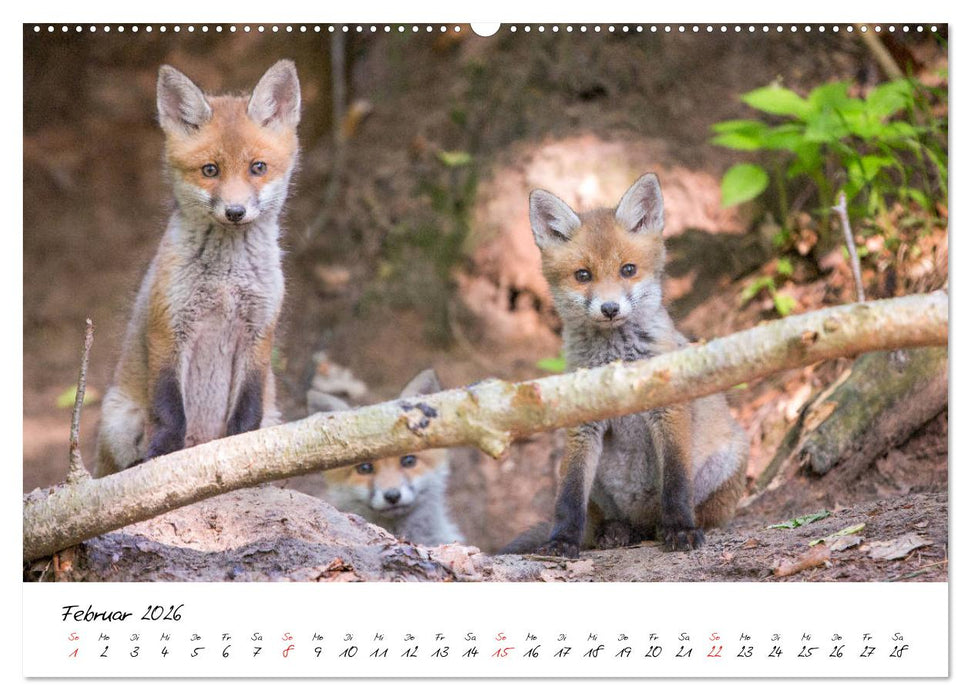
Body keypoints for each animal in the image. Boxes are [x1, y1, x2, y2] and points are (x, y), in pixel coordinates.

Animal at [95, 60, 301, 476]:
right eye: (210, 170)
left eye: (258, 167)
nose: (235, 211)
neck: (225, 281)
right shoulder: (169, 327)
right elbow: (169, 408)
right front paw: (161, 456)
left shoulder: (259, 333)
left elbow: (246, 412)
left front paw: (245, 454)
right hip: (117, 420)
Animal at [502, 173, 748, 557]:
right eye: (583, 275)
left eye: (628, 270)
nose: (610, 309)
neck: (616, 360)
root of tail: (642, 520)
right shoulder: (582, 426)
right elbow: (569, 496)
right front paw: (562, 540)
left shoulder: (670, 409)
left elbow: (676, 483)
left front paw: (680, 529)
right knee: (604, 520)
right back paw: (616, 531)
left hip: (727, 461)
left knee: (702, 511)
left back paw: (668, 526)